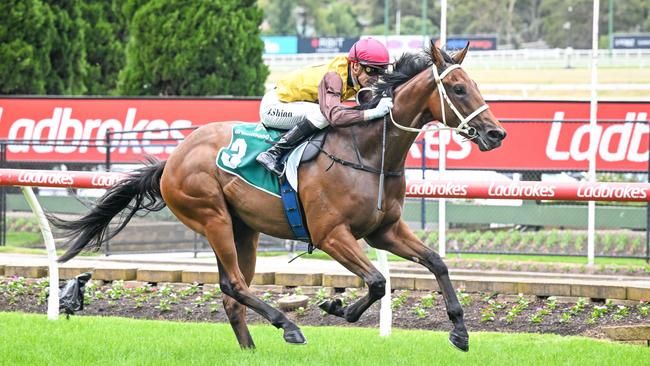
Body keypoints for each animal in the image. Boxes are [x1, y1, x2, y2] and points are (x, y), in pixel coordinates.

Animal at [53, 43, 504, 352]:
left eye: (475, 85)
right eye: (458, 89)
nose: (496, 133)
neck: (367, 152)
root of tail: (172, 160)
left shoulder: (384, 230)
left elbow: (436, 262)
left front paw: (460, 330)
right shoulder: (330, 235)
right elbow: (377, 281)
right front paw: (338, 309)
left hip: (243, 229)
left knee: (231, 294)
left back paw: (252, 349)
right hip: (211, 216)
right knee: (234, 283)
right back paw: (288, 326)